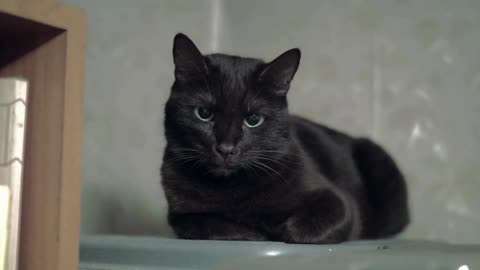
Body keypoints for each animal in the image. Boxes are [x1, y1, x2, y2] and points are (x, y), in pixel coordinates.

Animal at [161, 32, 408, 244]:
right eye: (203, 113)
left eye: (253, 119)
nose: (226, 148)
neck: (230, 187)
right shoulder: (179, 215)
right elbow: (206, 224)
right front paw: (255, 232)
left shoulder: (341, 203)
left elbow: (309, 226)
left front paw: (281, 230)